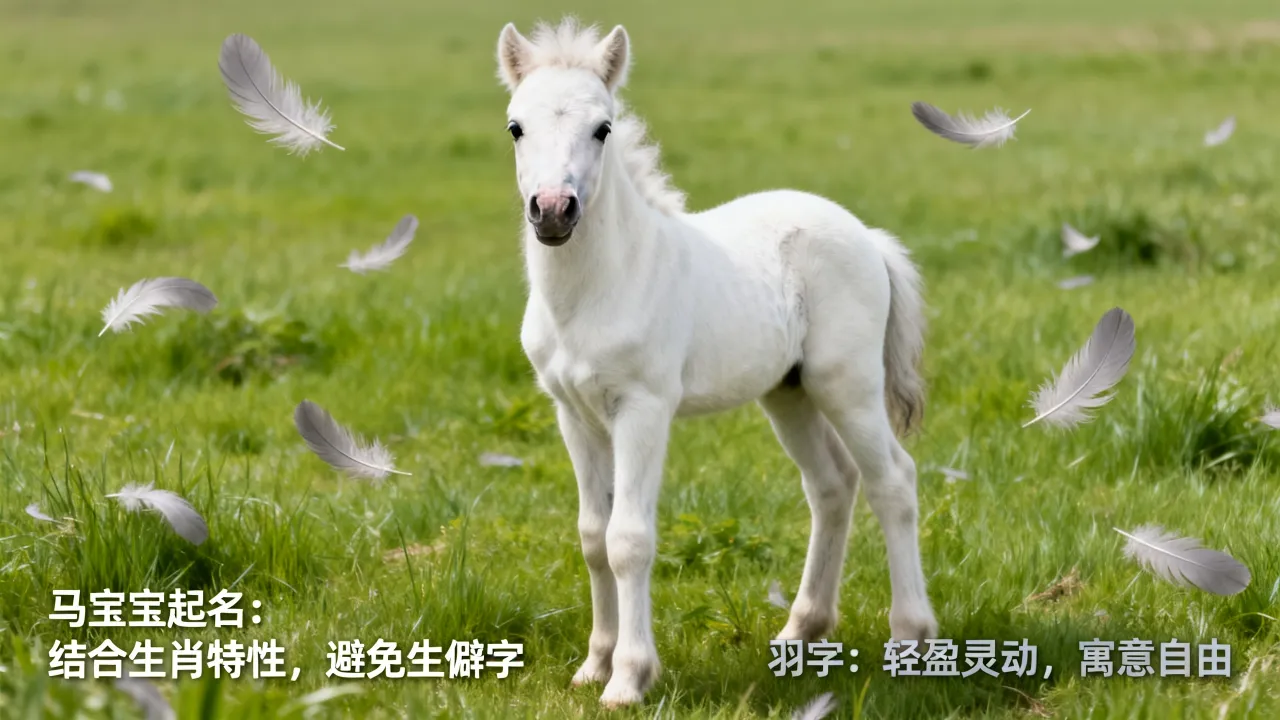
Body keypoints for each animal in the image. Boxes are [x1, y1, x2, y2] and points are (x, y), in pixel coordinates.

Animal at [495, 18, 938, 706]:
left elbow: (628, 539)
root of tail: (867, 236)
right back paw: (801, 631)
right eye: (516, 126)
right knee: (833, 484)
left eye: (603, 128)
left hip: (848, 383)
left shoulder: (643, 408)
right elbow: (592, 536)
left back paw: (910, 637)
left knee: (893, 479)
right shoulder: (575, 414)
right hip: (789, 392)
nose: (553, 210)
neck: (601, 286)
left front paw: (628, 678)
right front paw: (593, 665)